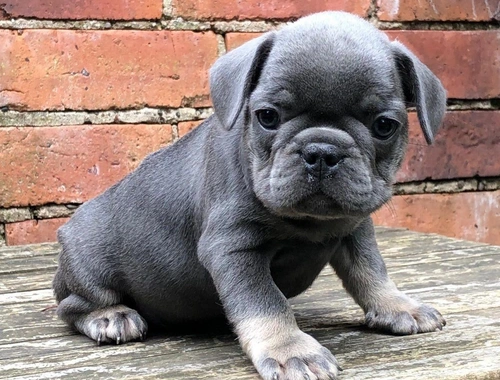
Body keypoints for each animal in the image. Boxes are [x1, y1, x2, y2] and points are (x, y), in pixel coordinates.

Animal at [53, 11, 446, 380]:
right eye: (267, 116)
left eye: (384, 126)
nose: (322, 151)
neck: (310, 221)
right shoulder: (234, 248)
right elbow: (265, 302)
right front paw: (291, 350)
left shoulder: (354, 228)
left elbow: (371, 270)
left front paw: (397, 305)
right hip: (90, 263)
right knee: (71, 305)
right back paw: (110, 317)